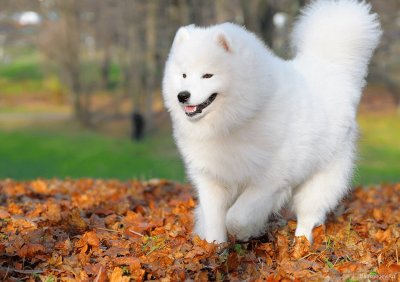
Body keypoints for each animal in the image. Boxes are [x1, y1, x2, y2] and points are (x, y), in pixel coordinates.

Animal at [162, 0, 382, 242]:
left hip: (321, 175)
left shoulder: (268, 181)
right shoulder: (211, 179)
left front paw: (244, 232)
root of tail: (332, 67)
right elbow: (214, 221)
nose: (182, 95)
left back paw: (301, 243)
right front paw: (214, 247)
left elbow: (237, 216)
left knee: (308, 214)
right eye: (183, 75)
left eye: (208, 75)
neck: (236, 119)